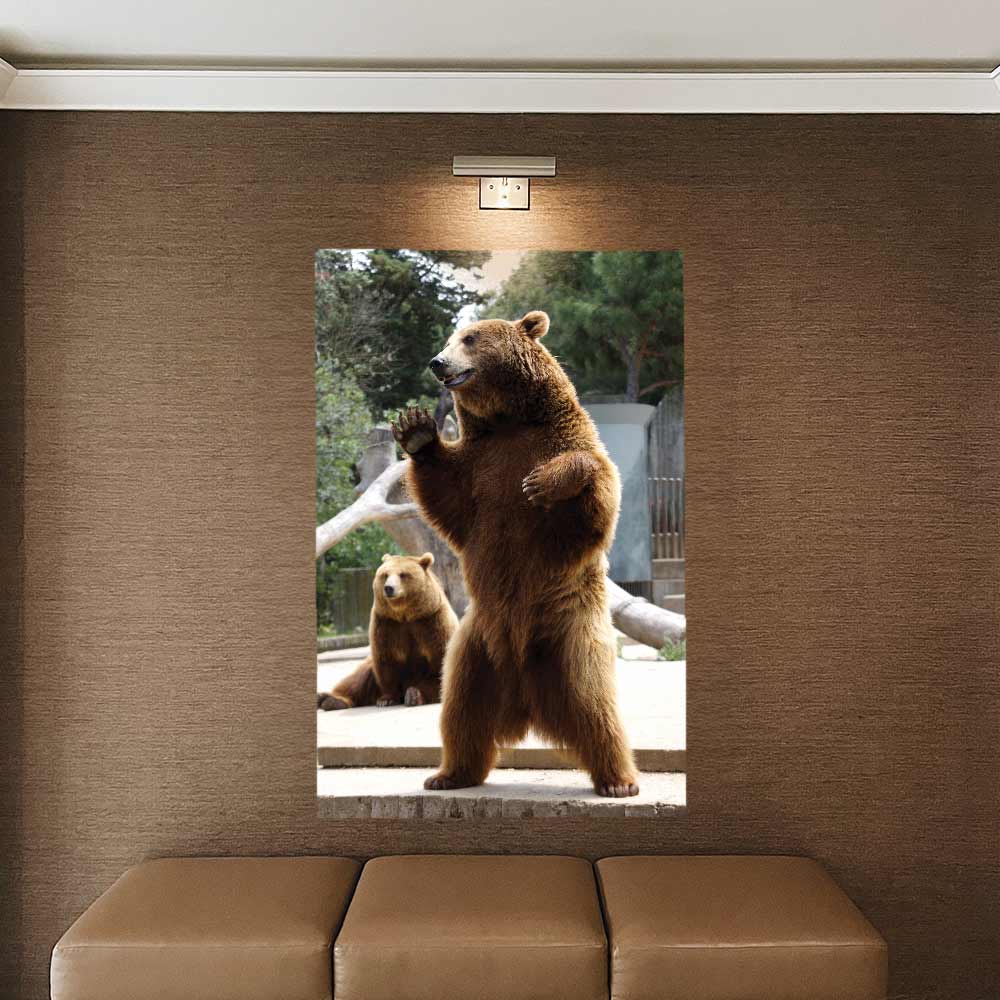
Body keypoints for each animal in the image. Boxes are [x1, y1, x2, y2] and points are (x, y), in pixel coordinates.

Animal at [317, 553, 458, 711]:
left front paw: (415, 694)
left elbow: (439, 664)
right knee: (357, 678)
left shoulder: (432, 622)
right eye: (385, 575)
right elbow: (386, 660)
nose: (389, 588)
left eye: (403, 574)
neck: (405, 614)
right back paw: (330, 699)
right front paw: (387, 699)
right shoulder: (386, 624)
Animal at [391, 310, 639, 797]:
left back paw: (618, 781)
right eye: (449, 338)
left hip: (569, 629)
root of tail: (526, 700)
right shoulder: (478, 471)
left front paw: (543, 482)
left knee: (595, 703)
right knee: (461, 711)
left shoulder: (565, 444)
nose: (437, 362)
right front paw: (416, 429)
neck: (509, 421)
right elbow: (447, 496)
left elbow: (596, 497)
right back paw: (448, 774)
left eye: (469, 338)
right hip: (474, 646)